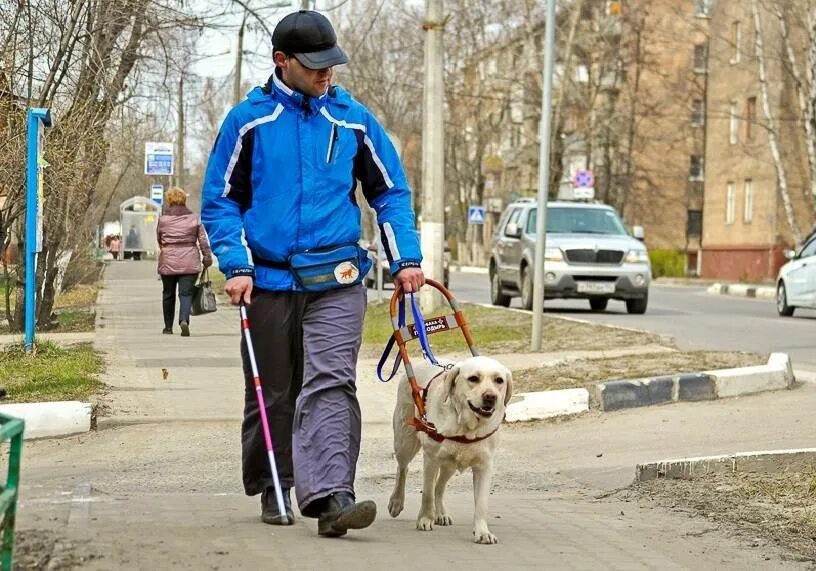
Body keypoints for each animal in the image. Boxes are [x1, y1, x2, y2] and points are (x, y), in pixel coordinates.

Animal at [388, 358, 510, 544]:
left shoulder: (484, 466)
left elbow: (481, 504)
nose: (491, 396)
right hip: (405, 442)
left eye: (499, 380)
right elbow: (427, 494)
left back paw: (441, 513)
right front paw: (425, 519)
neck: (466, 429)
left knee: (439, 486)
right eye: (473, 378)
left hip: (450, 464)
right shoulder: (431, 459)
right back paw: (396, 501)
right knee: (403, 469)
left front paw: (482, 532)